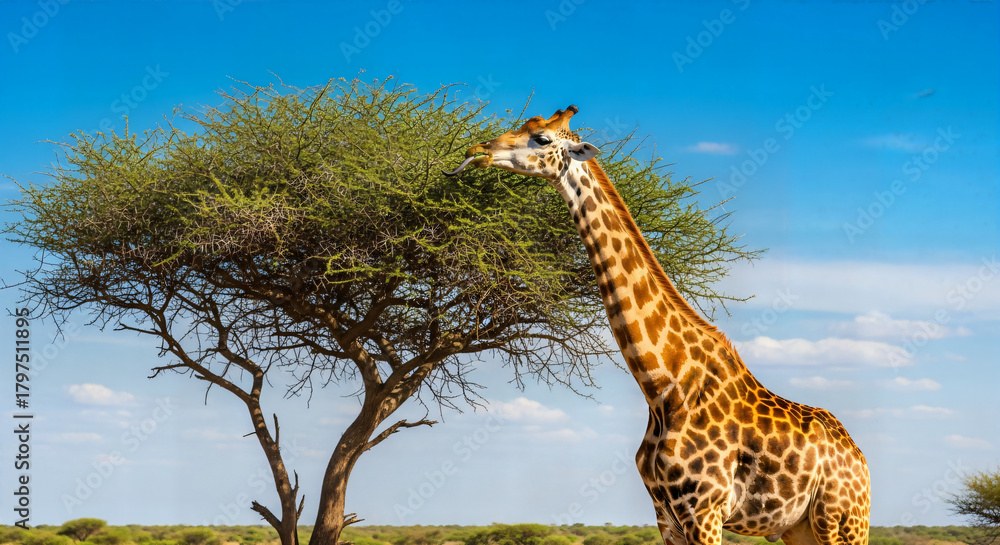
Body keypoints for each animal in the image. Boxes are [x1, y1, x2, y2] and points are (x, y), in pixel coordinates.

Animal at [445, 106, 870, 545]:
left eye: (542, 139)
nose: (477, 150)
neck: (663, 386)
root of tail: (860, 459)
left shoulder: (705, 510)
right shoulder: (665, 512)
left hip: (840, 521)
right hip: (797, 527)